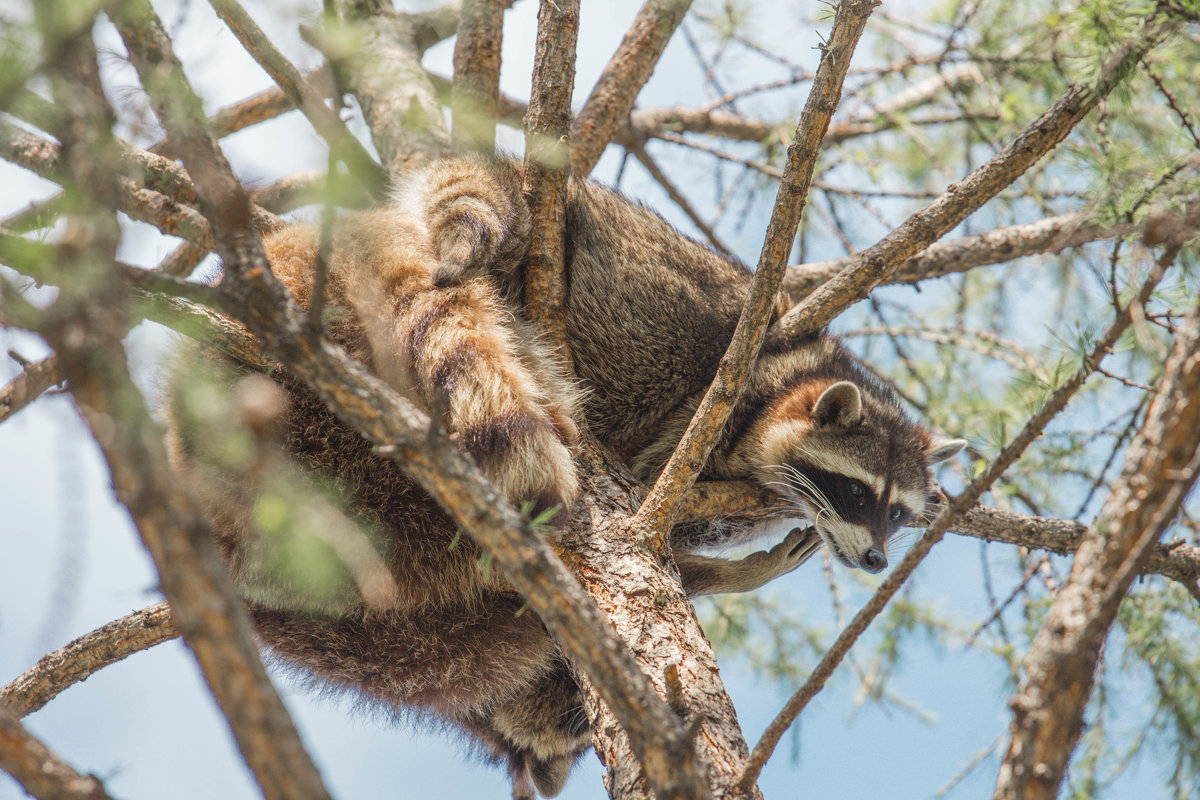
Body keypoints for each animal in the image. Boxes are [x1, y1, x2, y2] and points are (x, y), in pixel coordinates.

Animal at [169, 153, 960, 796]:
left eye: (899, 512)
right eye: (859, 492)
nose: (875, 559)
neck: (802, 382)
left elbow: (690, 519)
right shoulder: (732, 370)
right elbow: (670, 449)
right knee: (492, 220)